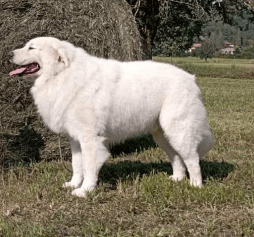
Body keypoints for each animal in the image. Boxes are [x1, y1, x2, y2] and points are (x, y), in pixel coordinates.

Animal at [9, 36, 212, 196]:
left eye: (31, 47)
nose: (10, 53)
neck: (62, 74)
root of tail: (191, 79)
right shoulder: (75, 139)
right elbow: (77, 165)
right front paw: (73, 184)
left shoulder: (90, 139)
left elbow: (89, 166)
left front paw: (85, 190)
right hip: (162, 135)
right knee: (176, 158)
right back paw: (177, 179)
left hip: (178, 130)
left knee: (192, 159)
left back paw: (196, 185)